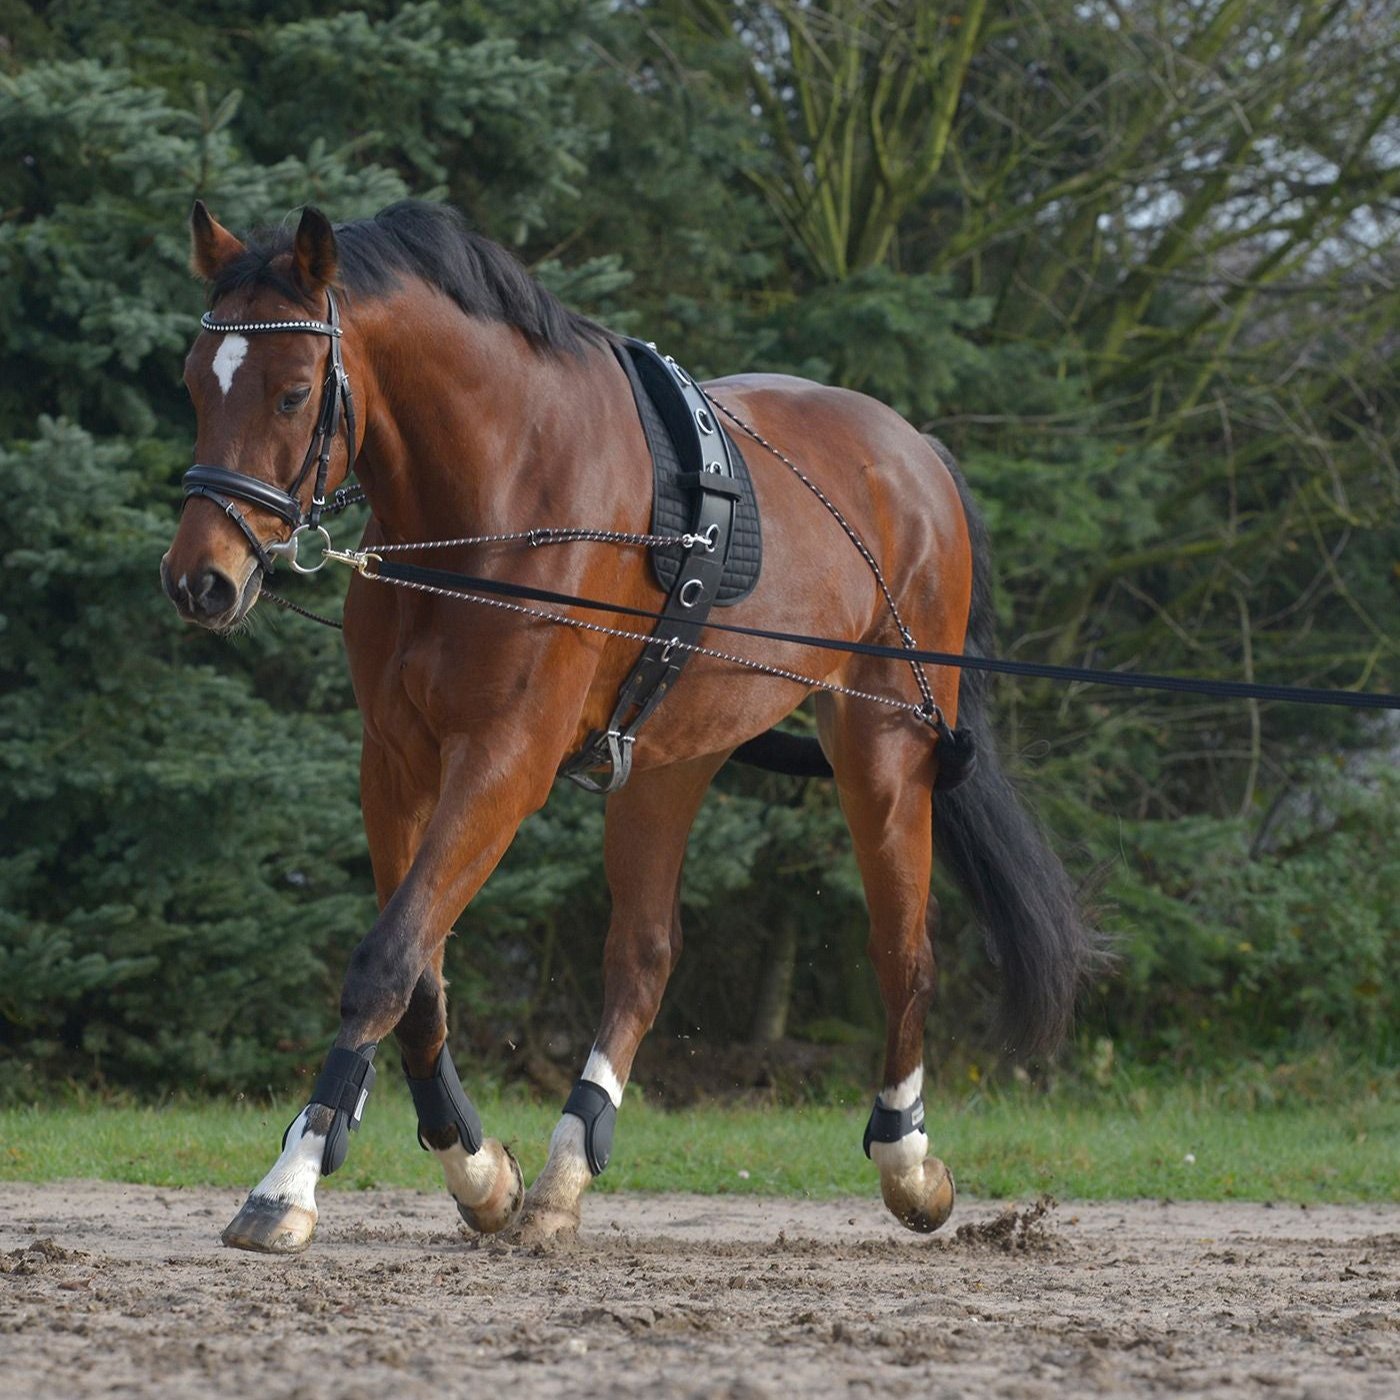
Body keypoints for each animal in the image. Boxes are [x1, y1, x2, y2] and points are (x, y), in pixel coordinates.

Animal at [160, 199, 1095, 1254]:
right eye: (195, 380)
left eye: (291, 394)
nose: (201, 580)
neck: (496, 490)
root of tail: (916, 453)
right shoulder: (395, 759)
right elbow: (421, 973)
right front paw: (476, 1169)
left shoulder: (505, 760)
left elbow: (387, 961)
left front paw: (291, 1181)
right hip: (667, 760)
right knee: (643, 957)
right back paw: (569, 1165)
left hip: (883, 748)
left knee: (903, 951)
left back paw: (907, 1160)